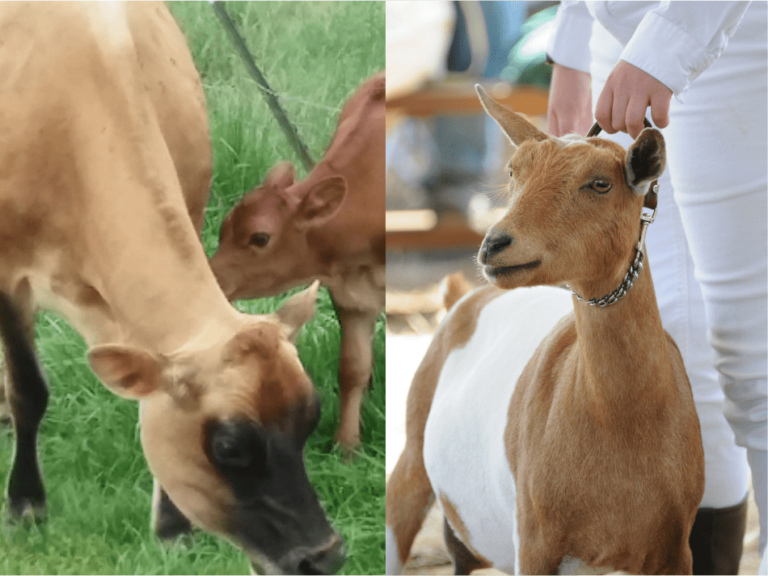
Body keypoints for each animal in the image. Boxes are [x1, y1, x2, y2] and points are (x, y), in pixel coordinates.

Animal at [0, 3, 344, 572]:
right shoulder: (8, 274)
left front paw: (172, 525)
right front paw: (26, 503)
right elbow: (29, 389)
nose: (325, 556)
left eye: (311, 419)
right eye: (229, 447)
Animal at [212, 71, 384, 450]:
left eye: (260, 237)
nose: (210, 278)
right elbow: (352, 368)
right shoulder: (350, 293)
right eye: (222, 228)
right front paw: (346, 446)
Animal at [388, 88, 704, 572]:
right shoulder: (535, 543)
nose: (493, 245)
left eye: (599, 183)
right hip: (412, 449)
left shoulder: (674, 549)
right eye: (513, 172)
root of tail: (461, 299)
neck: (622, 420)